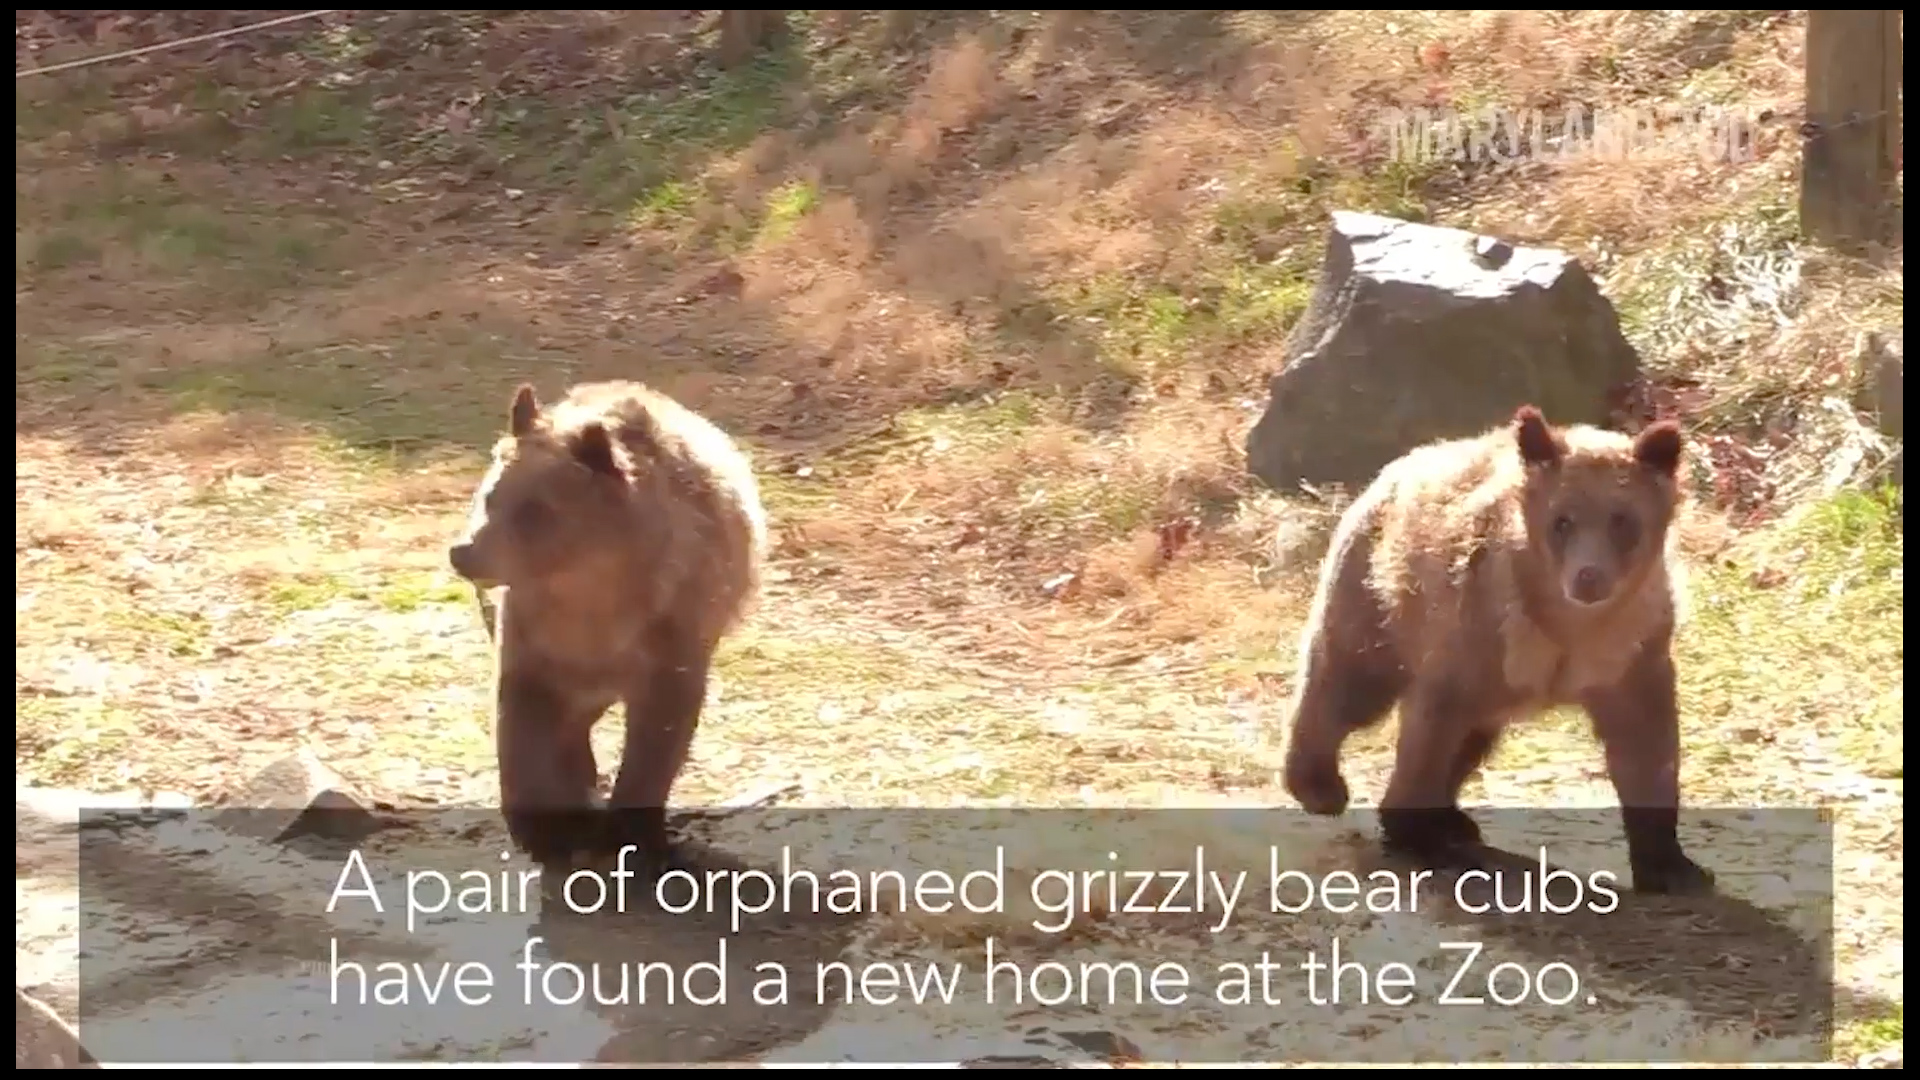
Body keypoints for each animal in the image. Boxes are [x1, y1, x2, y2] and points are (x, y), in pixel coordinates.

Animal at [449, 378, 771, 864]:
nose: (463, 552)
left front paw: (638, 834)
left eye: (534, 510)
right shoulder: (533, 637)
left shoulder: (670, 636)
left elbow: (659, 735)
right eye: (491, 495)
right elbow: (522, 722)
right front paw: (544, 828)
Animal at [1290, 401, 1712, 891]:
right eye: (1562, 521)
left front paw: (1674, 865)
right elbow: (1430, 729)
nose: (1589, 576)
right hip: (1377, 592)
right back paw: (1320, 786)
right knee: (1348, 681)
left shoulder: (1630, 651)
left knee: (1473, 735)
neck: (1567, 629)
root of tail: (1397, 466)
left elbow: (1645, 745)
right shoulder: (1479, 628)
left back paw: (1453, 820)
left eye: (1622, 520)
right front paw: (1413, 830)